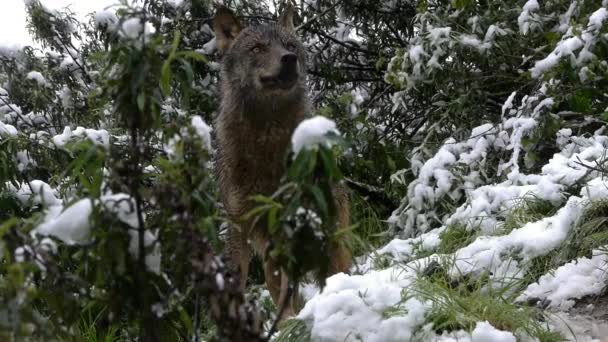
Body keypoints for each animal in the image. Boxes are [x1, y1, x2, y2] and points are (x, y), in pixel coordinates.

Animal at [213, 5, 352, 316]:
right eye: (257, 48)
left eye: (290, 46)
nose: (289, 59)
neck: (266, 135)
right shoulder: (238, 224)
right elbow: (237, 278)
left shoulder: (292, 217)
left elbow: (291, 287)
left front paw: (289, 320)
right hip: (270, 252)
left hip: (329, 237)